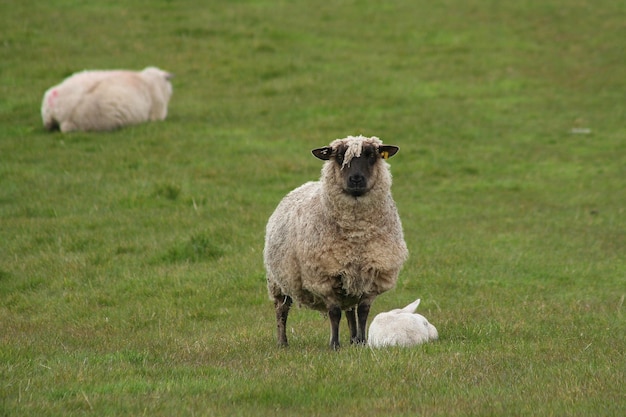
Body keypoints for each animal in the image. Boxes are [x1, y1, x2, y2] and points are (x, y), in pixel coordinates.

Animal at [260, 134, 408, 348]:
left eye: (371, 155)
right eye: (339, 157)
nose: (356, 179)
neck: (356, 234)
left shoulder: (372, 275)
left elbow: (363, 312)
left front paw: (363, 343)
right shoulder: (325, 276)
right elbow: (334, 312)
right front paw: (334, 345)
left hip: (349, 281)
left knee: (350, 310)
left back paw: (354, 340)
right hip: (277, 279)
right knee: (281, 309)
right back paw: (282, 342)